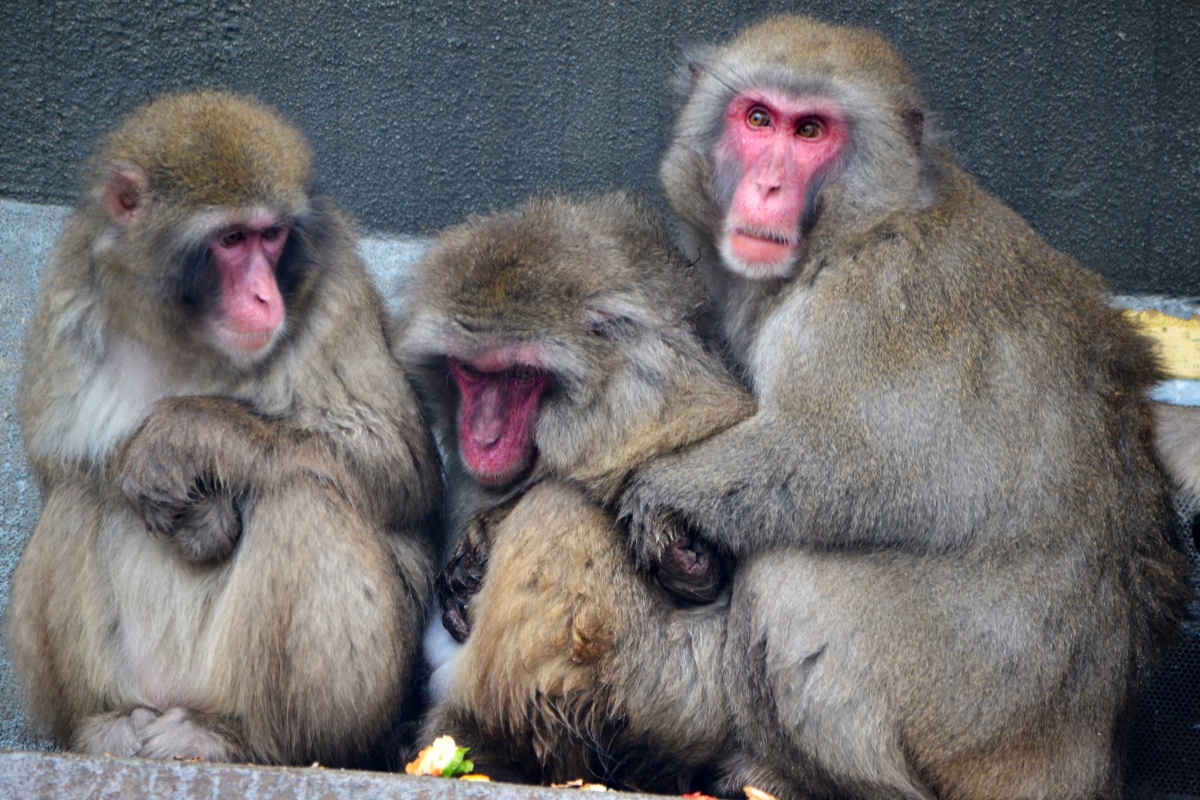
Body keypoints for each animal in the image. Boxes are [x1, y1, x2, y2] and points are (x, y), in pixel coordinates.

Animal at [6, 90, 442, 767]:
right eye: (232, 239)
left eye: (273, 236)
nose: (265, 298)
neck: (184, 335)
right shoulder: (67, 292)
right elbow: (58, 464)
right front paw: (161, 483)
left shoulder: (335, 291)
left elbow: (396, 466)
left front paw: (180, 435)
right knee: (80, 494)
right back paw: (106, 725)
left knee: (302, 497)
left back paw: (238, 736)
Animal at [395, 193, 755, 789]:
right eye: (471, 372)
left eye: (520, 376)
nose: (482, 436)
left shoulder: (636, 396)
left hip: (670, 691)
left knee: (558, 511)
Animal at [615, 16, 1193, 800]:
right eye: (758, 119)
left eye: (811, 131)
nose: (767, 185)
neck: (857, 227)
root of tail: (1072, 750)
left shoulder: (873, 305)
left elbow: (845, 462)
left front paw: (662, 495)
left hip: (959, 703)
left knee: (791, 576)